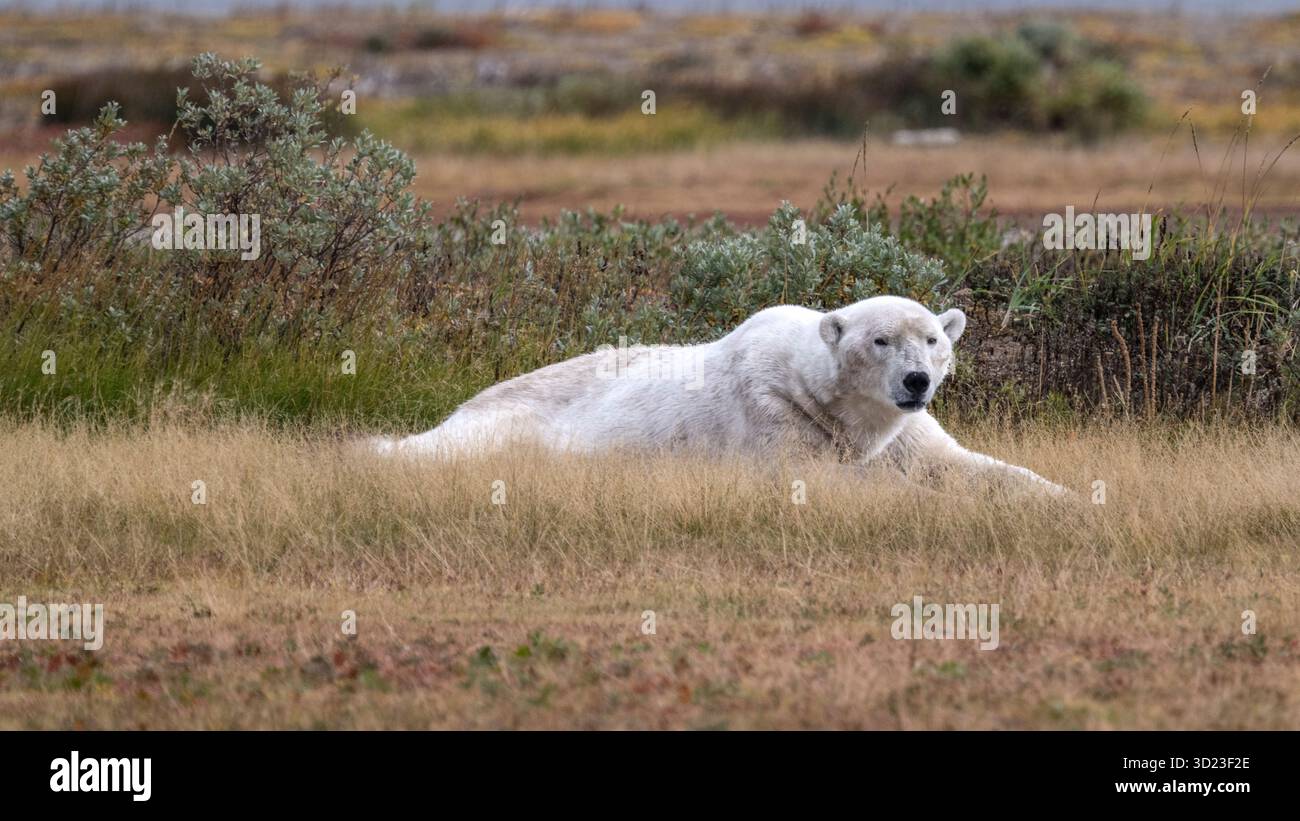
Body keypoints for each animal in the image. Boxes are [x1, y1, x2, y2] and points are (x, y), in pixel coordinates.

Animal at [374, 295, 1066, 495]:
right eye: (880, 340)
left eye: (932, 339)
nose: (917, 381)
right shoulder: (775, 414)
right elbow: (818, 480)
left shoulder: (904, 432)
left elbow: (958, 464)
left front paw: (1063, 498)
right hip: (511, 424)